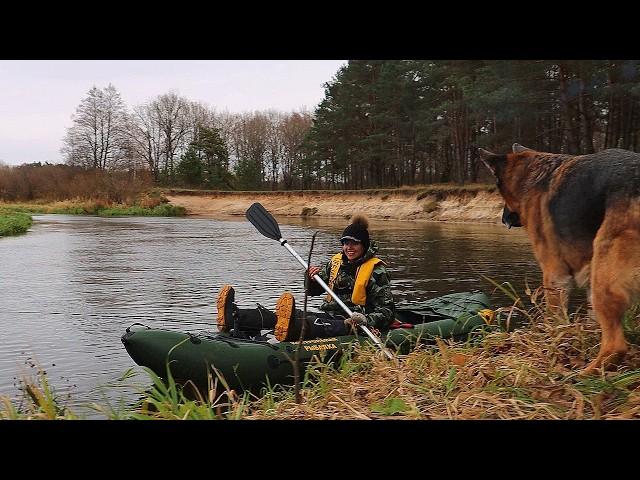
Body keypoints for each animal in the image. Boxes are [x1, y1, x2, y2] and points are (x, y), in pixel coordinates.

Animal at [480, 142, 640, 372]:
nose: (502, 218)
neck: (532, 175)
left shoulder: (554, 276)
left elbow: (555, 319)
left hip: (603, 280)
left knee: (615, 345)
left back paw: (585, 372)